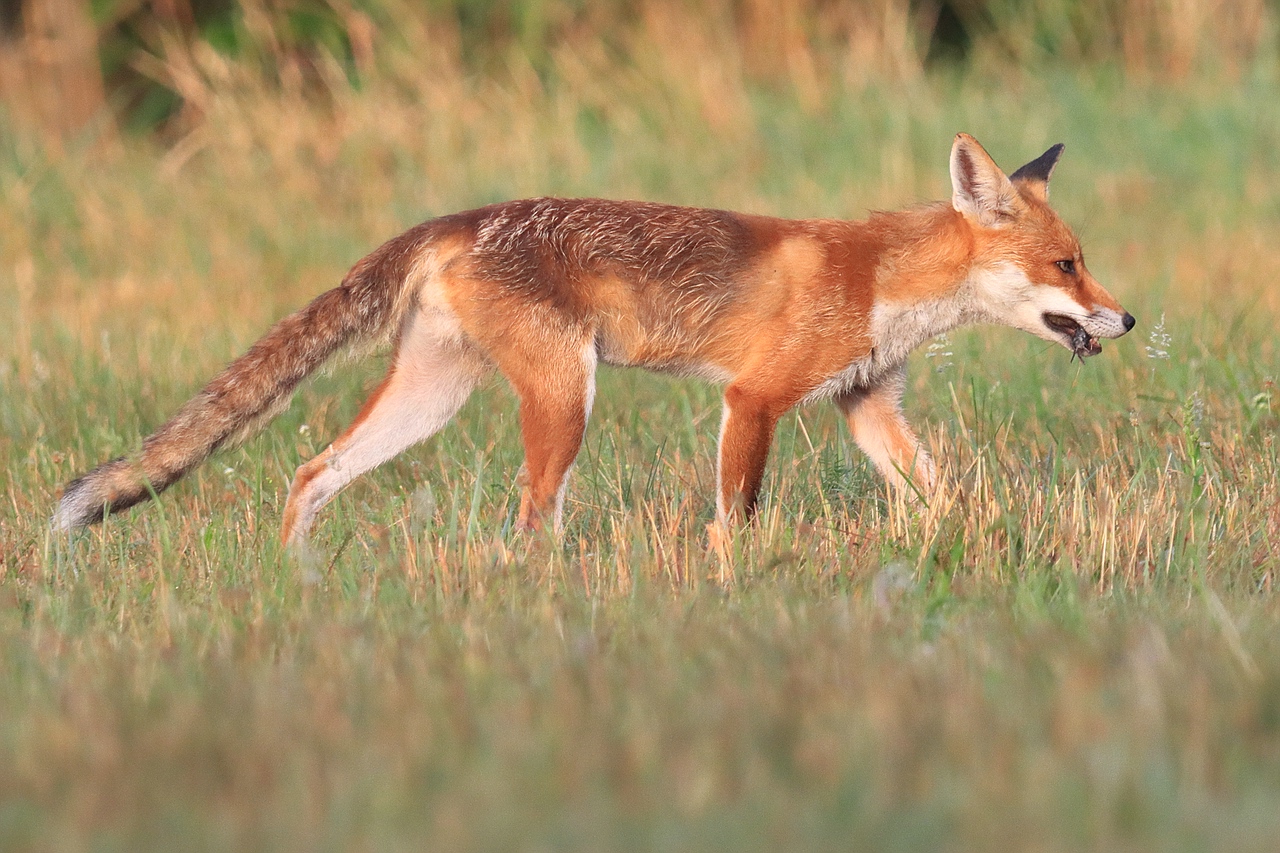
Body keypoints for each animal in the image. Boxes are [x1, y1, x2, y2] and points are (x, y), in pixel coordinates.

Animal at [49, 133, 1136, 545]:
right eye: (1068, 265)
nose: (1126, 319)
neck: (880, 283)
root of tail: (459, 217)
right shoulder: (755, 398)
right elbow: (734, 519)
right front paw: (732, 591)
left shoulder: (865, 402)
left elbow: (944, 493)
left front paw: (981, 544)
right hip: (566, 396)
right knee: (529, 522)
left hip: (432, 399)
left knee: (310, 471)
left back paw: (299, 585)